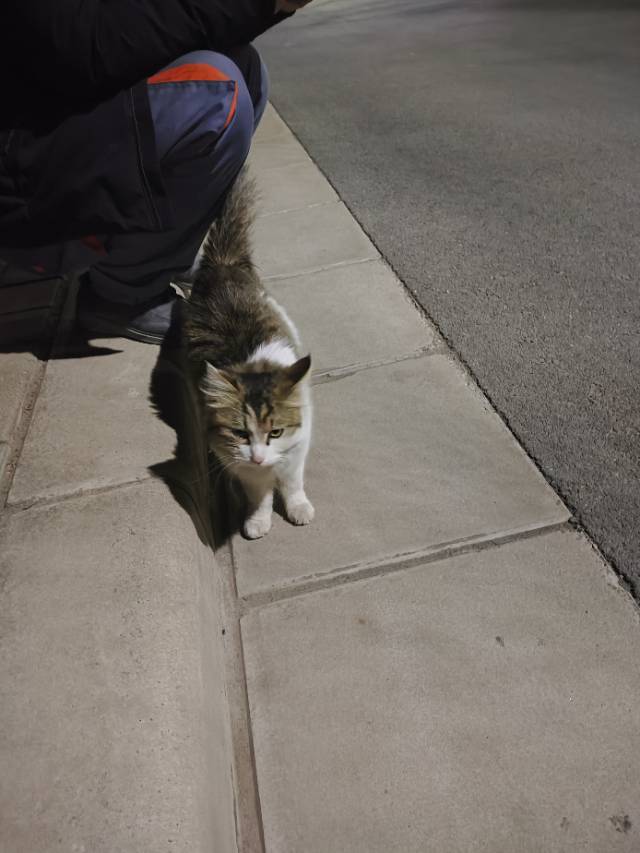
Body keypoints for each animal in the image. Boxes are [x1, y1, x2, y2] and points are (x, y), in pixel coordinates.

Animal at [184, 173, 314, 540]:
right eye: (241, 434)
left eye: (276, 432)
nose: (258, 458)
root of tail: (222, 265)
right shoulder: (238, 461)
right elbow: (259, 495)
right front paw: (258, 520)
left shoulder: (297, 446)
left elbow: (292, 482)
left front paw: (298, 508)